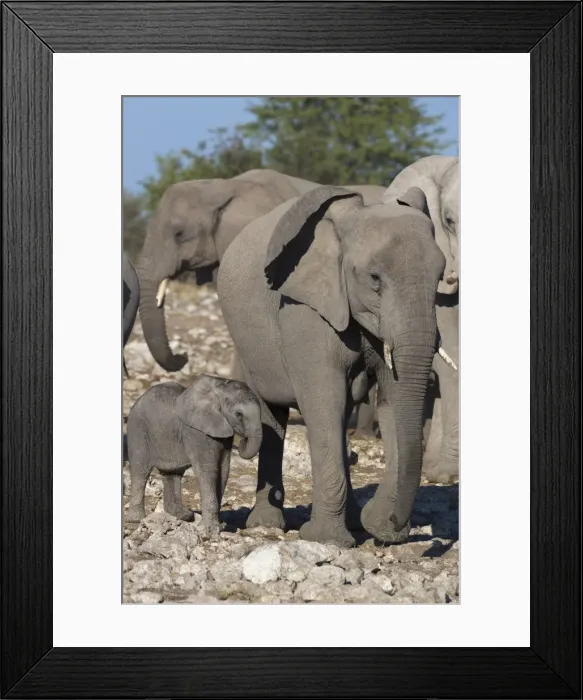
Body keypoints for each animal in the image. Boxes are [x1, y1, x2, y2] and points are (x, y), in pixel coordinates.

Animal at [125, 375, 262, 537]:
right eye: (238, 414)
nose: (242, 440)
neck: (220, 386)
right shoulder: (197, 432)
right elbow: (208, 470)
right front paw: (210, 531)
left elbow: (223, 469)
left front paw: (219, 526)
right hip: (138, 430)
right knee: (141, 470)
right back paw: (136, 520)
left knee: (173, 473)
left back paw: (183, 516)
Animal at [217, 184, 453, 547]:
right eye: (374, 278)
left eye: (440, 277)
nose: (394, 523)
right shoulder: (304, 308)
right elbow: (324, 399)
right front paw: (324, 539)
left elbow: (391, 401)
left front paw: (375, 527)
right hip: (246, 341)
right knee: (272, 413)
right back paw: (266, 525)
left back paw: (352, 521)